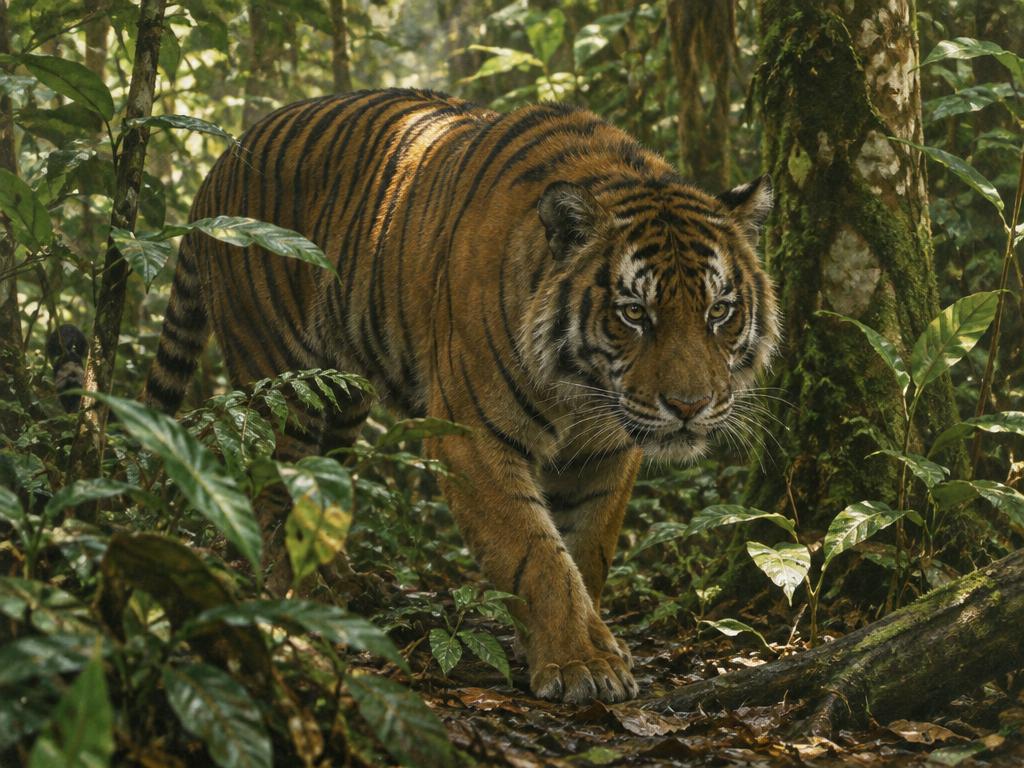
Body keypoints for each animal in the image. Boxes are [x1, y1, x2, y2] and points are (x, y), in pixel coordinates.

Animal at [144, 88, 780, 704]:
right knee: (276, 488)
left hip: (342, 396)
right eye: (634, 313)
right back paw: (300, 594)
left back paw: (346, 582)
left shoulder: (606, 451)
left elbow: (588, 550)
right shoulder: (472, 438)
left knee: (326, 481)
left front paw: (590, 640)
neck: (582, 388)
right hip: (278, 373)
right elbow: (536, 554)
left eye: (718, 311)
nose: (689, 407)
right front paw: (580, 661)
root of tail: (221, 161)